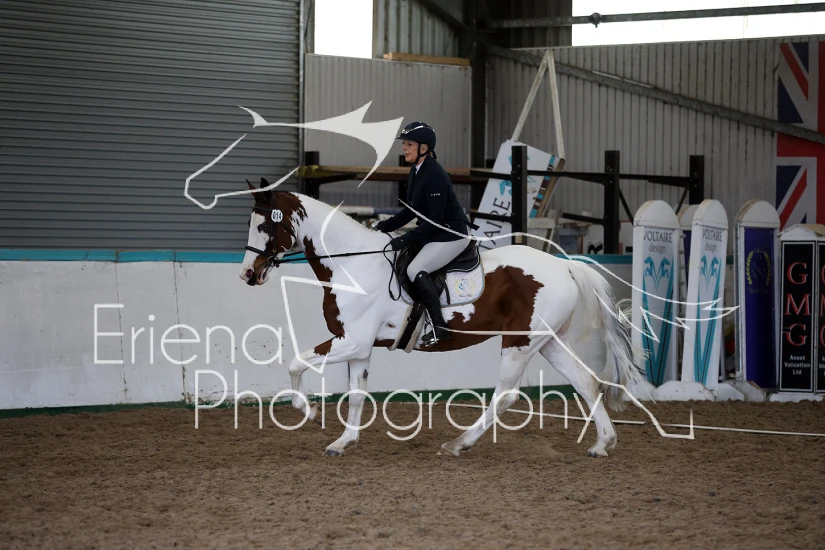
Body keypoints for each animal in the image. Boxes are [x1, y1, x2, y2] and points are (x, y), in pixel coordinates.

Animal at [239, 183, 643, 457]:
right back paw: (603, 443)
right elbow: (355, 395)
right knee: (585, 382)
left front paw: (306, 411)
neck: (352, 264)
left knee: (506, 396)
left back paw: (459, 443)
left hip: (518, 342)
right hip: (547, 341)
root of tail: (565, 265)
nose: (247, 274)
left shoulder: (352, 341)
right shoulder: (359, 346)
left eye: (265, 226)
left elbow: (296, 362)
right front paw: (343, 441)